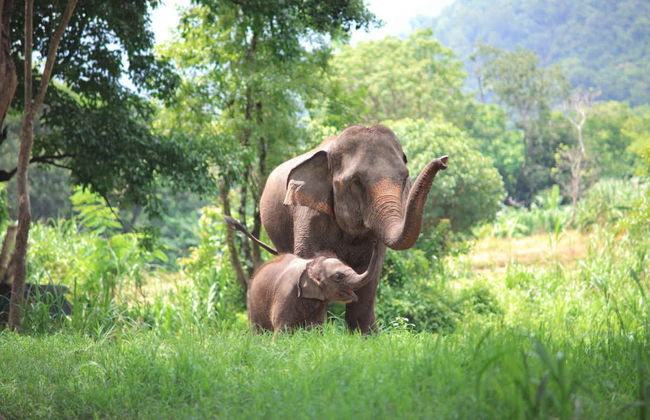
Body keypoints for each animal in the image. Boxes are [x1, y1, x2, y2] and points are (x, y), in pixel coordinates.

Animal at [247, 245, 378, 333]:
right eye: (338, 276)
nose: (375, 242)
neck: (312, 264)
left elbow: (315, 328)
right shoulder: (285, 294)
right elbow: (282, 327)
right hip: (254, 302)